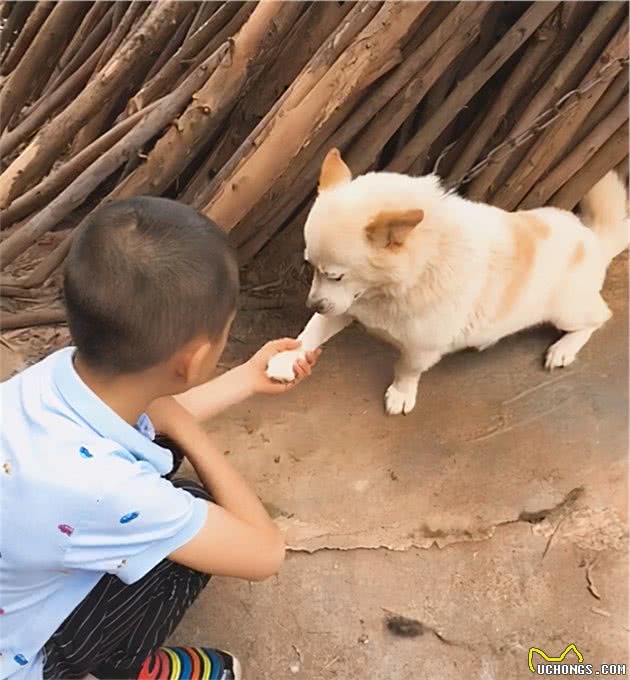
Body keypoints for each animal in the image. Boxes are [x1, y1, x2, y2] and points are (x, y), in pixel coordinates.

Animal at [266, 149, 628, 414]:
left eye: (336, 274)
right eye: (311, 267)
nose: (312, 303)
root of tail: (593, 239)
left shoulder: (421, 347)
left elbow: (406, 369)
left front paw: (401, 394)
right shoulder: (343, 307)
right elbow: (310, 333)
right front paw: (286, 358)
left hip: (566, 311)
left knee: (598, 318)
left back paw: (563, 349)